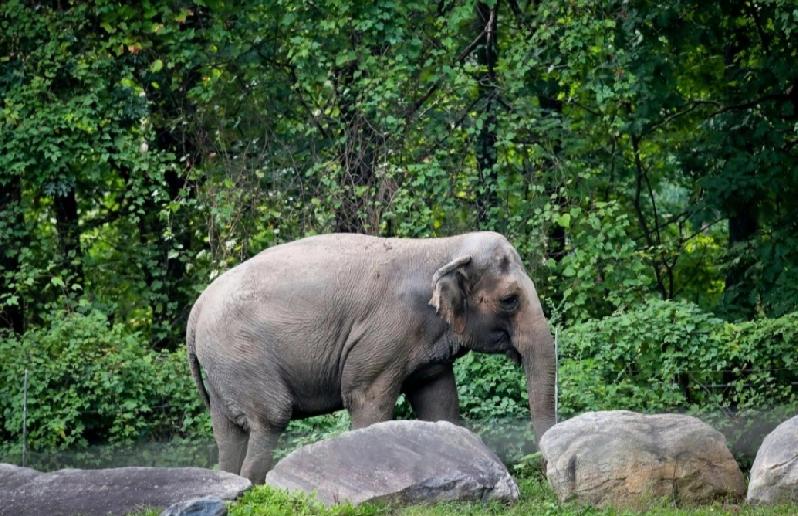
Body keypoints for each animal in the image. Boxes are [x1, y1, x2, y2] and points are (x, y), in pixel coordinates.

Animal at [186, 231, 556, 483]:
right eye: (509, 300)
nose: (542, 467)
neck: (443, 247)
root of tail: (197, 308)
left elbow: (439, 404)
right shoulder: (385, 334)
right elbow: (366, 400)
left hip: (222, 367)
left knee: (228, 433)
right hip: (241, 355)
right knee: (271, 418)